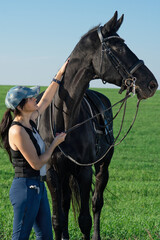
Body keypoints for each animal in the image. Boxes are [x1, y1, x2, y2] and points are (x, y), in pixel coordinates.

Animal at [37, 11, 158, 240]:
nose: (152, 84)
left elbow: (85, 219)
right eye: (119, 48)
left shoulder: (84, 172)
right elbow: (58, 219)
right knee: (66, 204)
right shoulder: (52, 173)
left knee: (96, 203)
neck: (64, 120)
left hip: (102, 166)